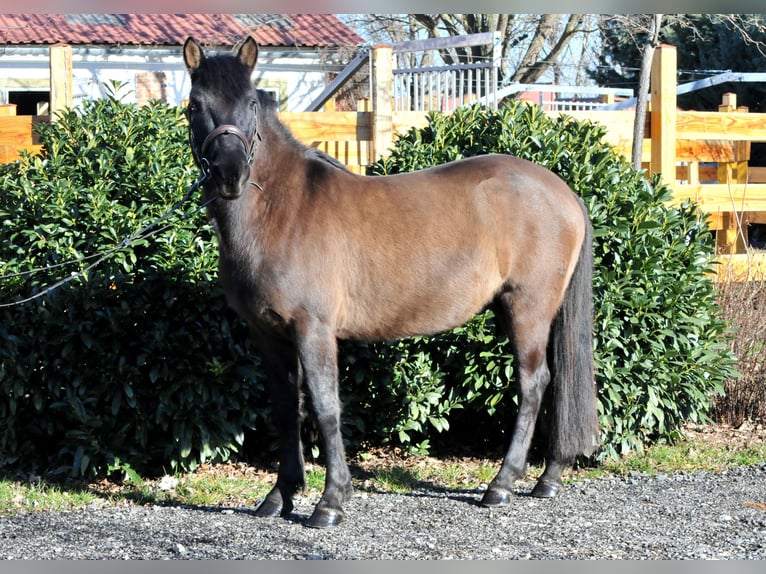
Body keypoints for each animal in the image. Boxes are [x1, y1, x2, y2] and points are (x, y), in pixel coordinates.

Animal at [182, 36, 600, 532]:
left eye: (249, 102)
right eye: (194, 105)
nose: (230, 174)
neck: (280, 209)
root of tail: (563, 191)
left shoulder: (313, 329)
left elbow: (325, 407)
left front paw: (330, 502)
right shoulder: (268, 334)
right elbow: (286, 409)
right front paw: (280, 495)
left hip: (527, 309)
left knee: (535, 382)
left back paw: (501, 484)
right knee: (556, 382)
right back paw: (548, 477)